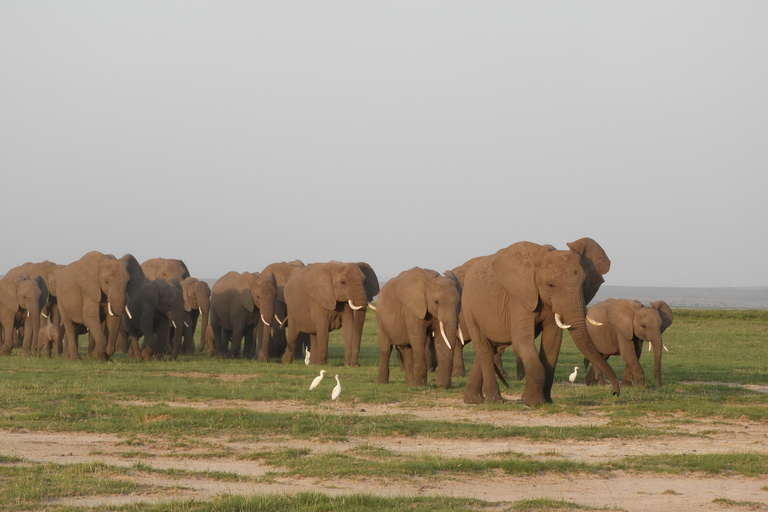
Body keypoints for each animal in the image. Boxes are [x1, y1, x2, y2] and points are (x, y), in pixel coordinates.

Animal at [460, 238, 620, 406]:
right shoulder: (520, 298)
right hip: (468, 307)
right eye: (550, 285)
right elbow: (522, 342)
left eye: (584, 284)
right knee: (483, 348)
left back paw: (473, 400)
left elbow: (552, 343)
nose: (615, 392)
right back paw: (494, 401)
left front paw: (546, 401)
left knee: (490, 349)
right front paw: (532, 402)